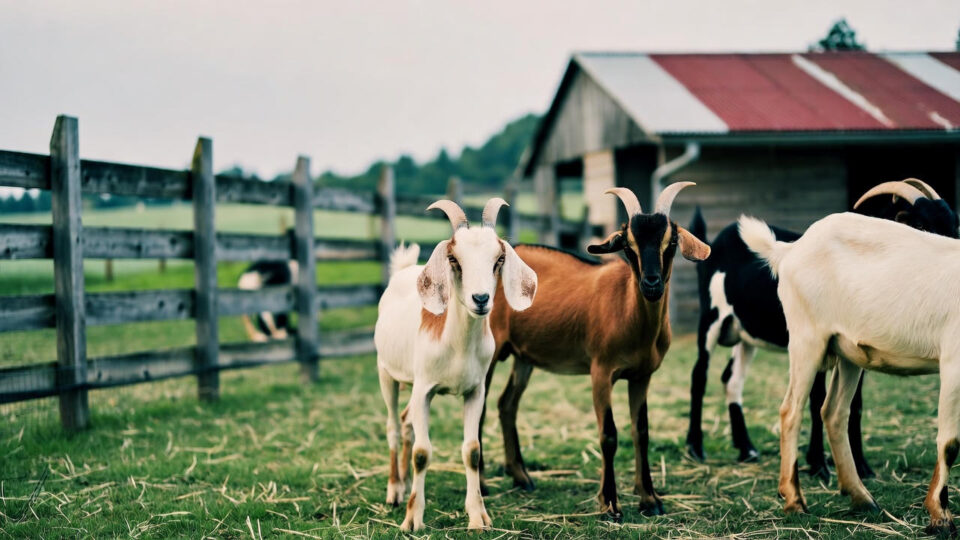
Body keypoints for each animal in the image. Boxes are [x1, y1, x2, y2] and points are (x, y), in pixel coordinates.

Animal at [374, 198, 537, 532]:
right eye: (453, 258)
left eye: (499, 259)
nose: (481, 298)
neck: (458, 347)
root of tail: (403, 271)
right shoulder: (424, 389)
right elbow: (422, 453)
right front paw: (412, 520)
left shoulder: (475, 390)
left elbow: (472, 451)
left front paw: (478, 517)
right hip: (386, 373)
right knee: (394, 426)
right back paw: (395, 491)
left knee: (406, 421)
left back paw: (405, 483)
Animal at [480, 182, 710, 520]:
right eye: (628, 244)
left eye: (671, 241)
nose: (651, 284)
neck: (629, 310)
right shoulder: (601, 371)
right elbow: (609, 434)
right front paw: (610, 503)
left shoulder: (641, 376)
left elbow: (641, 431)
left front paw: (650, 499)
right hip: (488, 351)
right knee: (479, 408)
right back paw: (483, 484)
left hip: (523, 357)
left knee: (506, 403)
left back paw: (521, 477)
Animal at [686, 178, 958, 480]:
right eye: (919, 224)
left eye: (954, 223)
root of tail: (716, 241)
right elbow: (817, 399)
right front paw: (818, 463)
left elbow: (854, 405)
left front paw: (861, 466)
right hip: (711, 319)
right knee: (699, 375)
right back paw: (695, 447)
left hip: (745, 335)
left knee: (732, 379)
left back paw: (747, 448)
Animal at [739, 207, 960, 534]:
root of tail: (791, 249)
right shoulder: (953, 362)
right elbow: (949, 444)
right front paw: (940, 516)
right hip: (807, 338)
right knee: (791, 410)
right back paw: (794, 501)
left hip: (847, 353)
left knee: (833, 412)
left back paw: (861, 498)